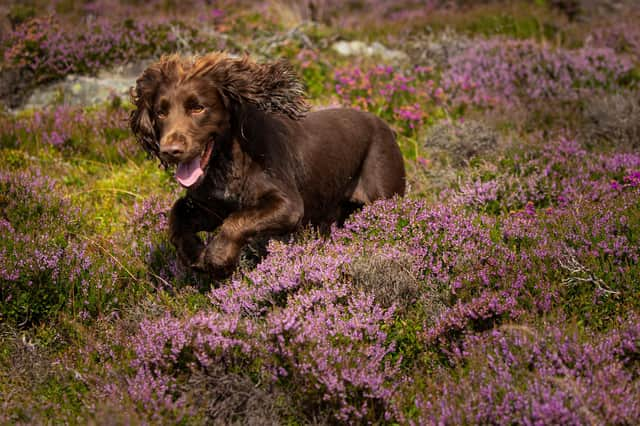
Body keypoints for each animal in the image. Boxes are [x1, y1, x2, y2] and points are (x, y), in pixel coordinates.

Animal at [130, 52, 404, 276]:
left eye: (198, 107)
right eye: (160, 113)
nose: (170, 151)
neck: (229, 162)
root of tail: (385, 126)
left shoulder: (288, 205)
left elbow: (236, 222)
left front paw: (219, 258)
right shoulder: (210, 207)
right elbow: (177, 215)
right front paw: (193, 253)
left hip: (384, 195)